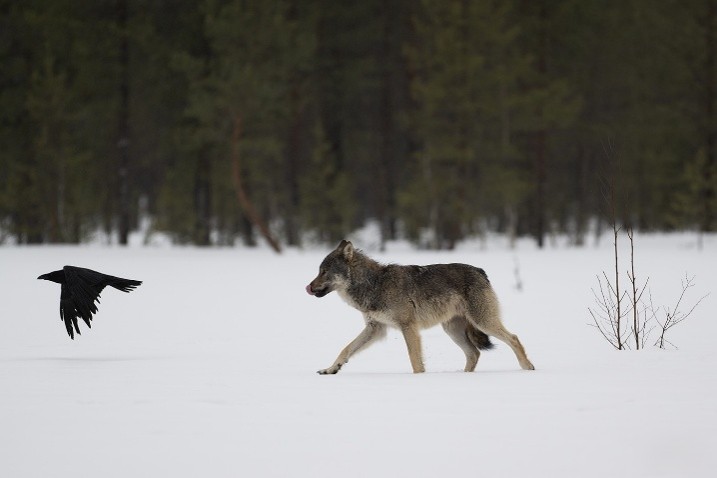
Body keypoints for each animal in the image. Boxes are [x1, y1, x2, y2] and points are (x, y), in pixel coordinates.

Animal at [306, 240, 535, 374]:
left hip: (483, 322)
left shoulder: (408, 327)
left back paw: (527, 367)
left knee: (514, 338)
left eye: (324, 271)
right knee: (474, 353)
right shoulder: (375, 329)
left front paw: (419, 380)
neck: (375, 284)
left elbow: (414, 359)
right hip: (453, 330)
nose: (308, 287)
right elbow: (346, 348)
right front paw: (331, 368)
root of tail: (480, 270)